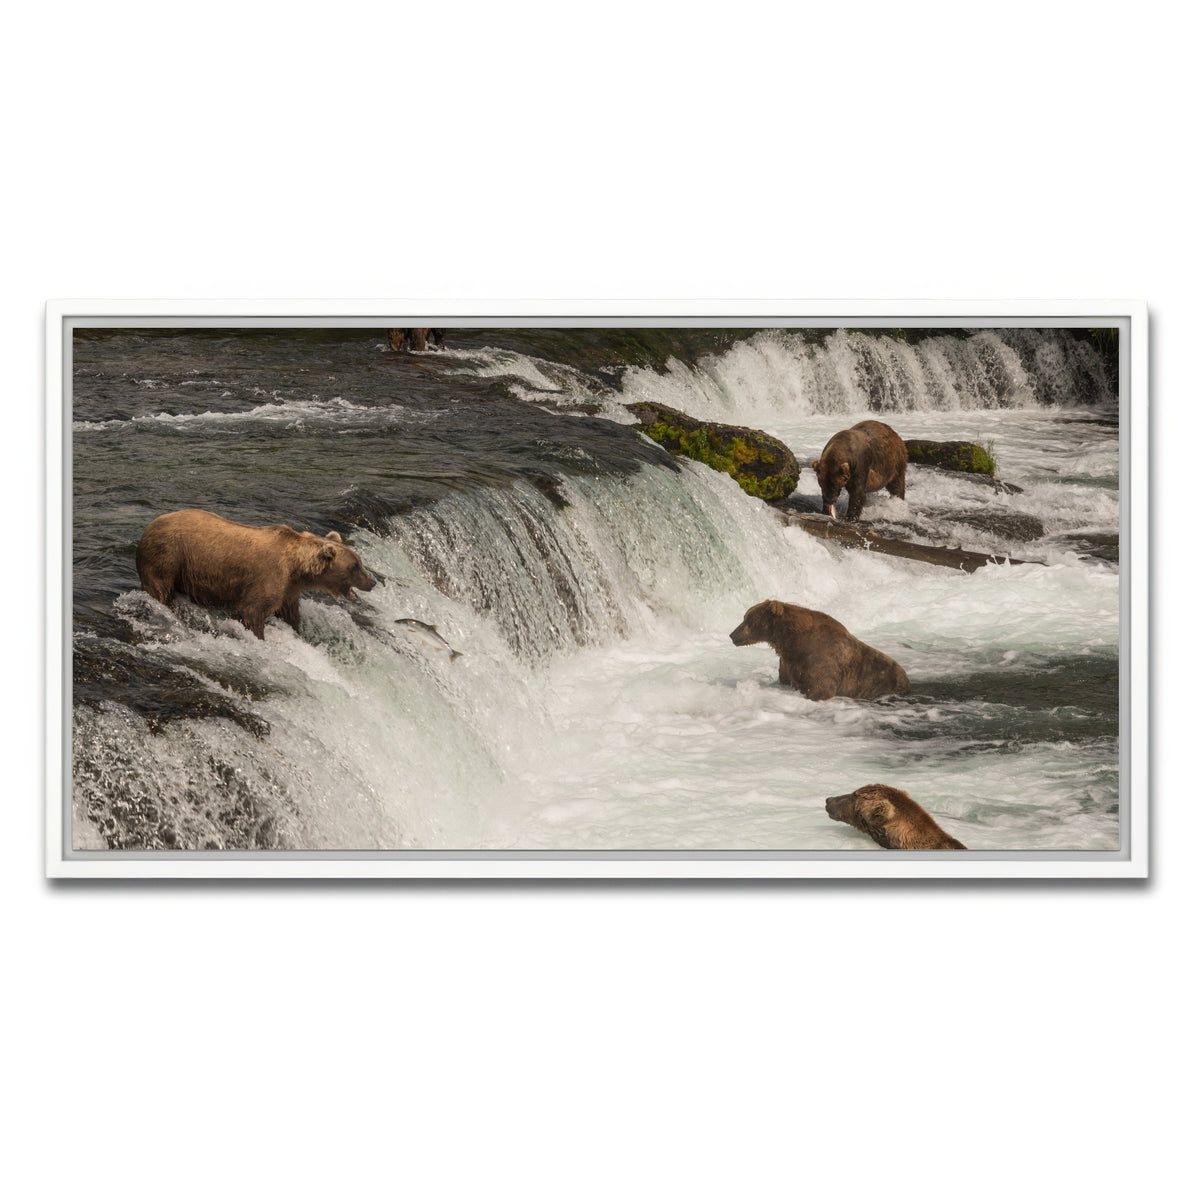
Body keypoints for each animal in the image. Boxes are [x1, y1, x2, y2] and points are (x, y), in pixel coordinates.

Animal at [135, 509, 376, 639]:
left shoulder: (289, 589)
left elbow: (290, 613)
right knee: (160, 589)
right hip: (168, 556)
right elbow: (253, 611)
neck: (297, 568)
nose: (372, 581)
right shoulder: (269, 577)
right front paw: (260, 636)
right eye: (355, 566)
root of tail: (148, 527)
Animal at [729, 600, 910, 700]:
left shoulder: (821, 659)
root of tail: (906, 677)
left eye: (748, 618)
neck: (791, 642)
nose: (732, 635)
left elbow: (820, 688)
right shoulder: (788, 663)